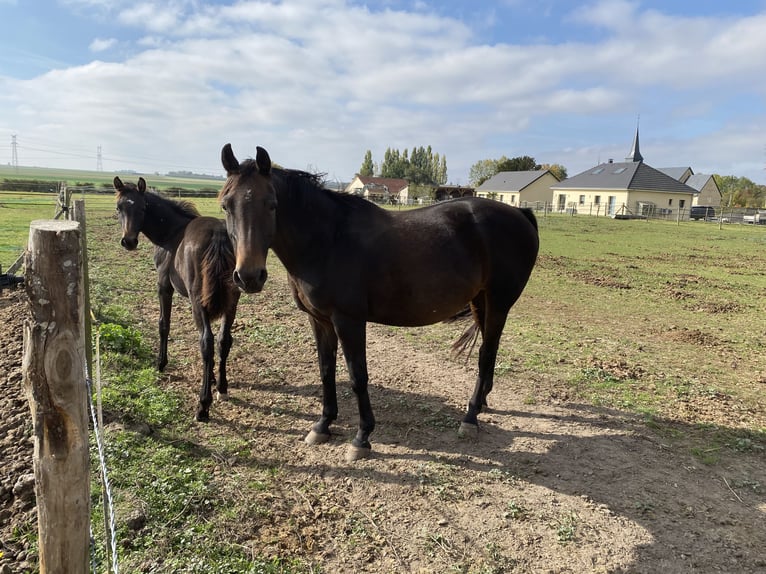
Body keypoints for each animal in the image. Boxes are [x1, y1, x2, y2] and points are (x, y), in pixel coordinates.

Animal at [114, 176, 241, 422]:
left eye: (143, 208)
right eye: (119, 208)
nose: (129, 242)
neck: (172, 233)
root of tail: (219, 236)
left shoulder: (164, 286)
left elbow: (164, 324)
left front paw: (160, 363)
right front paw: (212, 378)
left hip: (198, 300)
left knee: (206, 342)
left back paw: (203, 407)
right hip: (233, 299)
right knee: (223, 339)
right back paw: (222, 389)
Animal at [217, 144, 539, 461]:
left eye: (271, 204)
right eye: (226, 205)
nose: (249, 276)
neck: (328, 241)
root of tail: (520, 213)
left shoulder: (348, 320)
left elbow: (357, 376)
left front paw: (362, 438)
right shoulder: (319, 320)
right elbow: (326, 371)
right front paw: (322, 425)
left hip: (499, 303)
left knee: (486, 353)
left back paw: (470, 418)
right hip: (480, 301)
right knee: (488, 349)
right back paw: (481, 403)